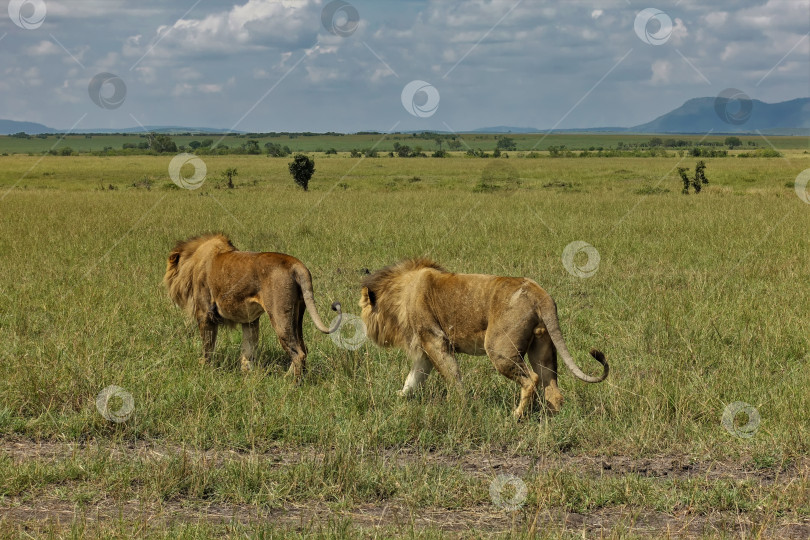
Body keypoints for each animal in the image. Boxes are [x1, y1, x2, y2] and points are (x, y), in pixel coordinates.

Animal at [164, 233, 340, 380]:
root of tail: (297, 264)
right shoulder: (249, 320)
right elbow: (248, 348)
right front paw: (246, 373)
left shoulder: (205, 315)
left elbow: (208, 346)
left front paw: (205, 368)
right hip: (298, 314)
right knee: (303, 348)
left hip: (280, 315)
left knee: (298, 352)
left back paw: (292, 383)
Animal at [360, 260, 608, 420]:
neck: (399, 293)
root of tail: (540, 293)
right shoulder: (426, 348)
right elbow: (413, 378)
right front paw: (401, 396)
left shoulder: (435, 340)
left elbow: (452, 375)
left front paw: (460, 406)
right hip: (543, 348)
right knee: (553, 388)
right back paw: (551, 417)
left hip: (499, 348)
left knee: (532, 379)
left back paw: (516, 416)